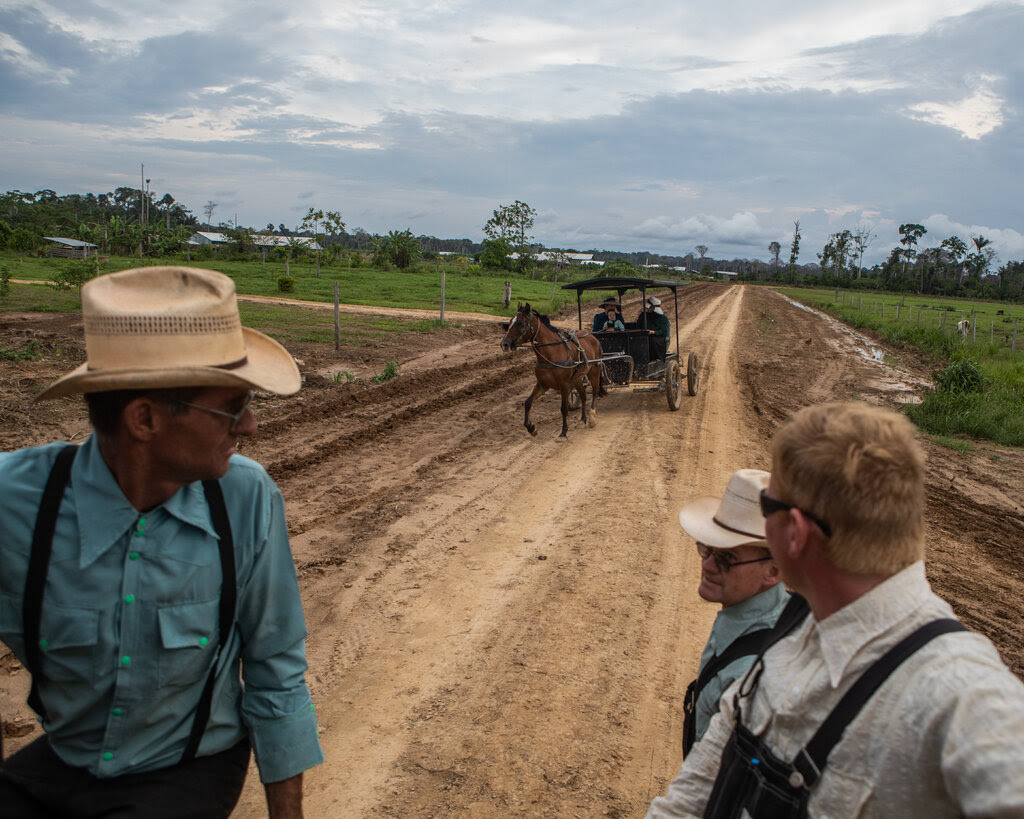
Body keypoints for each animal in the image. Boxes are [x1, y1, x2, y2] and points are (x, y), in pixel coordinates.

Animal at [499, 303, 602, 442]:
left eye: (520, 323)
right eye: (509, 322)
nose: (504, 344)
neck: (552, 352)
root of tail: (590, 335)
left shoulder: (564, 385)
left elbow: (563, 409)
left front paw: (563, 432)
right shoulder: (543, 384)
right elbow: (527, 403)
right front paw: (531, 428)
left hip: (594, 371)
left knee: (595, 392)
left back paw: (591, 418)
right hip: (577, 378)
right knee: (583, 395)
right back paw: (583, 419)